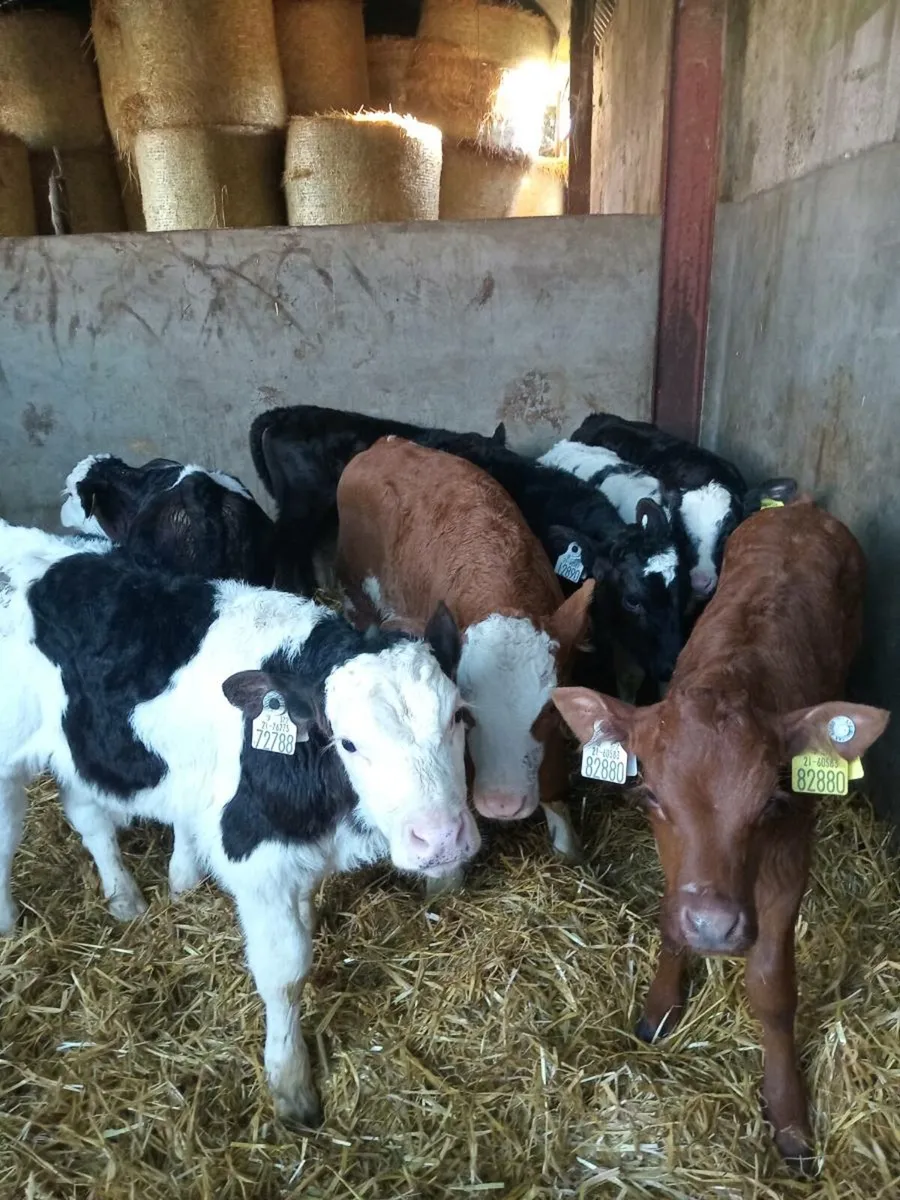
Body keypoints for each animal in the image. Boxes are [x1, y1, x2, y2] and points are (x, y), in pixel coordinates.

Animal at [0, 520, 479, 1126]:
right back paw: (8, 923)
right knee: (7, 838)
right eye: (349, 742)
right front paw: (292, 1085)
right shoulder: (257, 857)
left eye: (459, 715)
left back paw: (126, 899)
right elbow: (285, 971)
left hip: (80, 745)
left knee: (89, 816)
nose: (441, 838)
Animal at [335, 437, 595, 884]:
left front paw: (568, 848)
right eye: (466, 715)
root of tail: (385, 443)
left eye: (547, 712)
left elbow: (553, 780)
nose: (502, 804)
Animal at [551, 497, 890, 1171]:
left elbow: (772, 987)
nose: (713, 926)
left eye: (769, 803)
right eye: (651, 794)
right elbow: (668, 918)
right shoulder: (674, 861)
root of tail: (802, 509)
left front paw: (789, 1114)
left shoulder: (788, 862)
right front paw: (660, 1008)